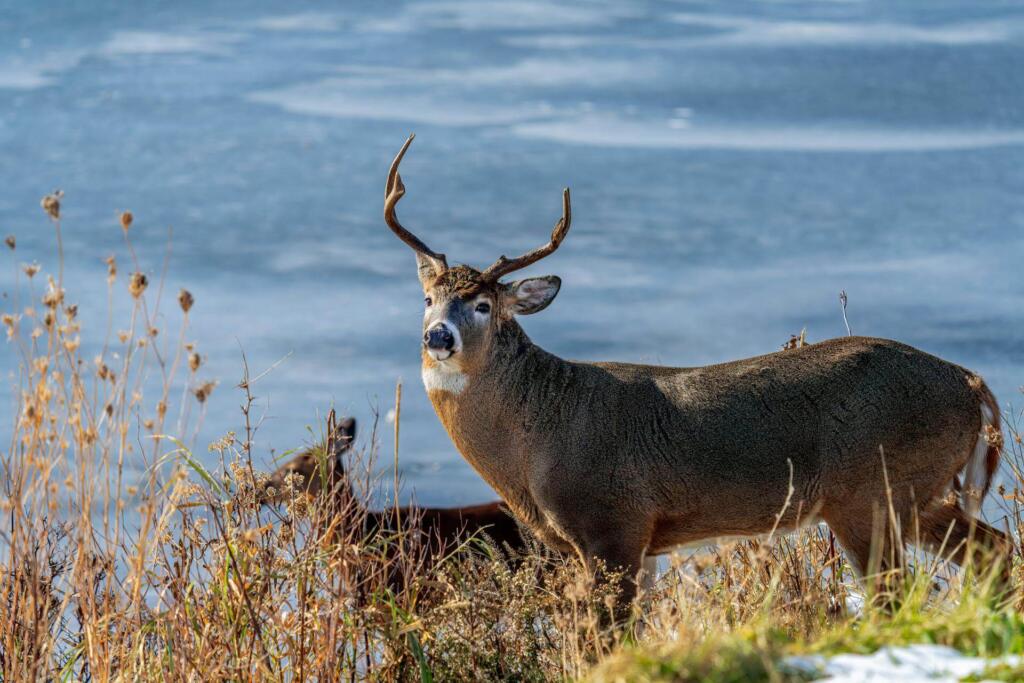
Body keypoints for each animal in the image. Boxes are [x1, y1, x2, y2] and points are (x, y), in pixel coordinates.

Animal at [382, 133, 1007, 610]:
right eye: (428, 299)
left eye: (484, 305)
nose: (438, 336)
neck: (535, 439)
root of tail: (972, 384)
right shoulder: (644, 543)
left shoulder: (612, 523)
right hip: (920, 492)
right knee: (993, 552)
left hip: (874, 490)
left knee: (896, 592)